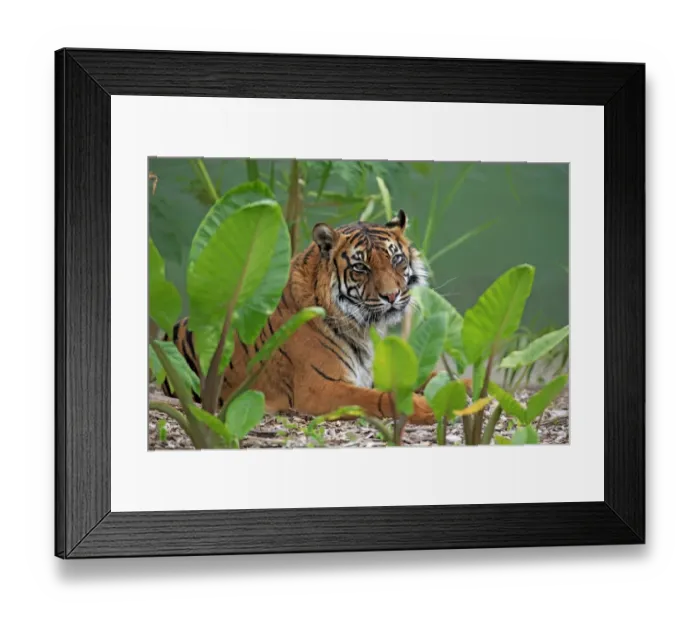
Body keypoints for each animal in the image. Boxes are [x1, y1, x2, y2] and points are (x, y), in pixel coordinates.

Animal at [161, 209, 472, 425]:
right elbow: (377, 399)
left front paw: (468, 387)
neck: (362, 327)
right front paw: (427, 407)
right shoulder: (319, 387)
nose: (392, 295)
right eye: (361, 267)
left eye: (396, 259)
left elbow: (434, 375)